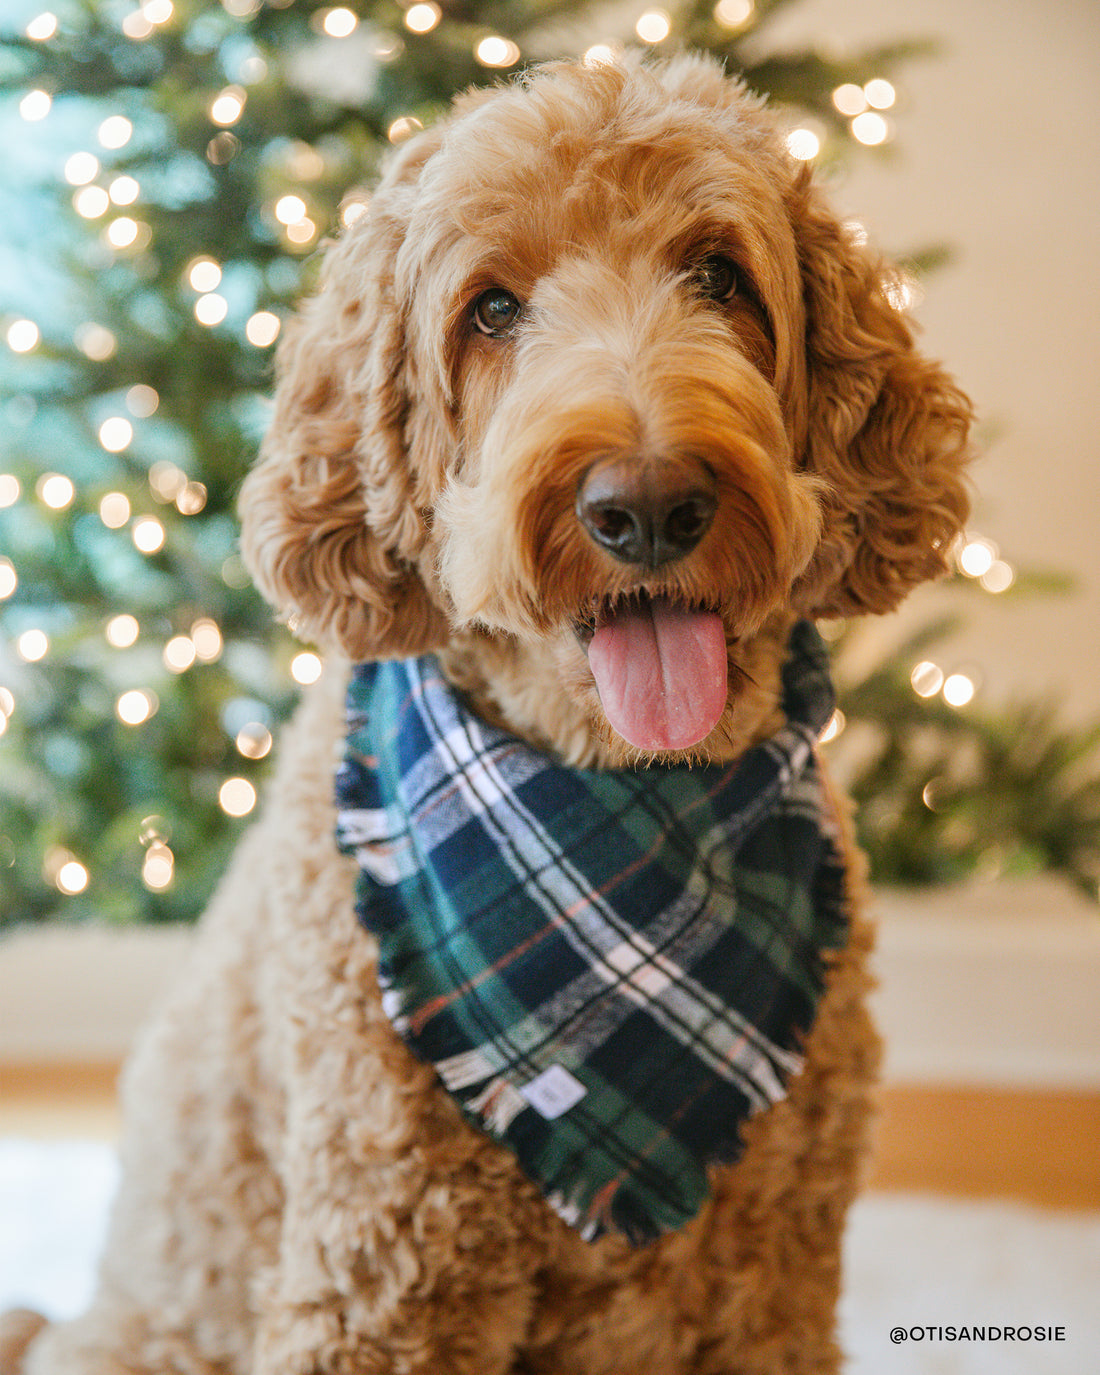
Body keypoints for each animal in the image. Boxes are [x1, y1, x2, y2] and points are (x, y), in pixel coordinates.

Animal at [6, 50, 973, 1375]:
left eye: (719, 275)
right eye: (492, 310)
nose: (647, 503)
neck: (618, 819)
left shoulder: (773, 1276)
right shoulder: (385, 1265)